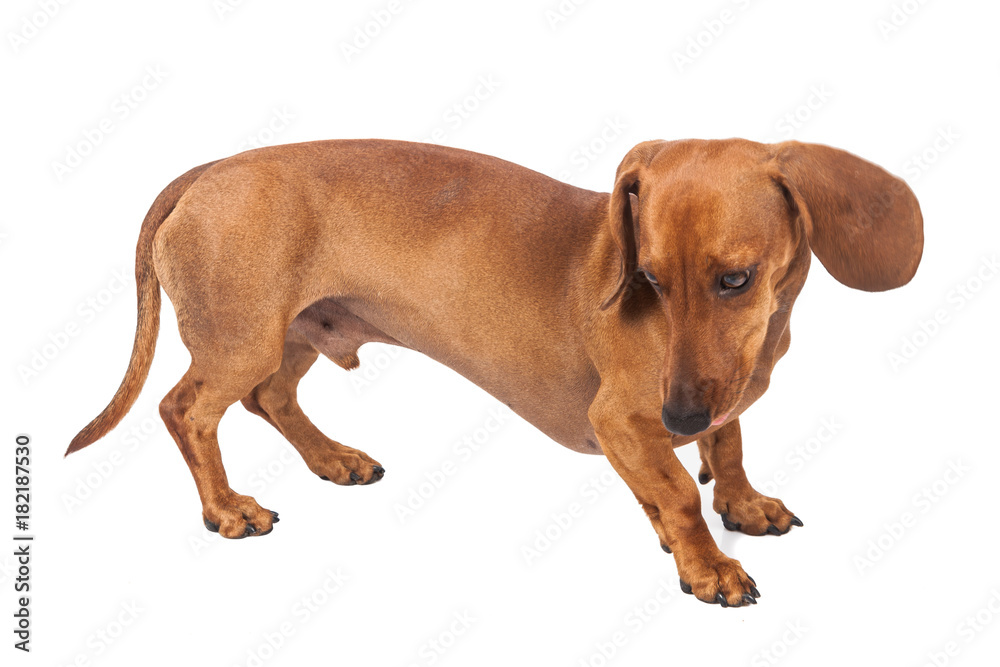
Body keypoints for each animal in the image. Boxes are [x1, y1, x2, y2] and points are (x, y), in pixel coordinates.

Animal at [68, 138, 920, 608]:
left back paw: (334, 458)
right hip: (240, 339)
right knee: (187, 410)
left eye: (735, 280)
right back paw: (227, 508)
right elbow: (679, 489)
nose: (680, 417)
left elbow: (726, 446)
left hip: (292, 333)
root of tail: (205, 171)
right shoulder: (624, 418)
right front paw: (707, 564)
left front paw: (738, 504)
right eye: (647, 277)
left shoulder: (715, 395)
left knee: (268, 397)